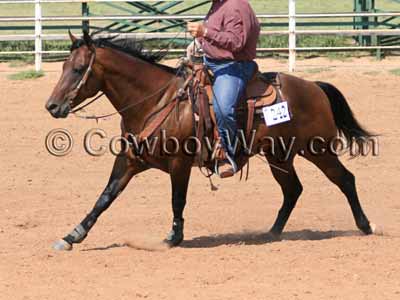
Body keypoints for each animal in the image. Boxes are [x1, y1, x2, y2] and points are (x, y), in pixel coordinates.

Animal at [46, 31, 376, 251]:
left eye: (78, 69)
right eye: (63, 66)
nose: (51, 106)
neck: (155, 100)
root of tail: (314, 87)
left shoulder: (179, 164)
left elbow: (177, 199)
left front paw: (174, 237)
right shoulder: (129, 160)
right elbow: (105, 197)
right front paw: (72, 235)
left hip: (318, 149)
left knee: (345, 179)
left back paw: (365, 225)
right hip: (279, 156)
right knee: (293, 189)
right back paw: (271, 233)